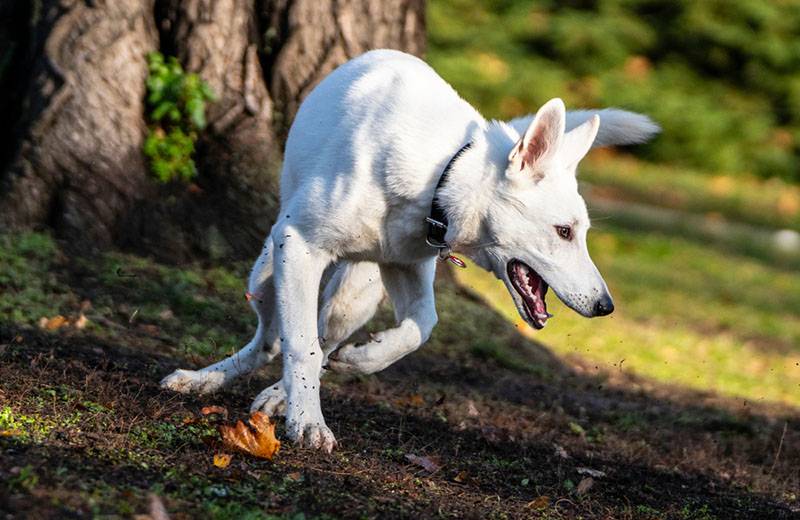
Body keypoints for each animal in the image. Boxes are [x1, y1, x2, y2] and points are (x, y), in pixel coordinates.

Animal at [161, 50, 656, 452]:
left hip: (354, 298)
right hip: (268, 274)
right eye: (564, 232)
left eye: (580, 232)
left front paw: (363, 358)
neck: (443, 171)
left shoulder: (408, 266)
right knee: (272, 341)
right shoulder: (299, 246)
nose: (606, 306)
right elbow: (300, 346)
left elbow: (420, 327)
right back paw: (204, 380)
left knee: (319, 337)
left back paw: (281, 393)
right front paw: (308, 425)